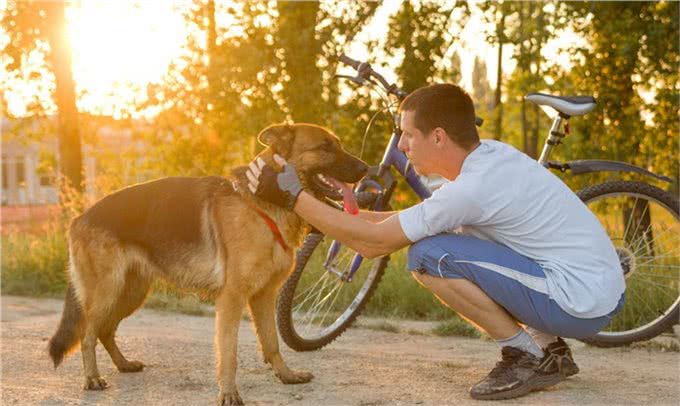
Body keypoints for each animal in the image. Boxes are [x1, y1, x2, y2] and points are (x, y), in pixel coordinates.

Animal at [47, 122, 370, 404]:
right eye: (325, 147)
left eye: (337, 144)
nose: (367, 169)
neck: (262, 206)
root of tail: (80, 217)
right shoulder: (232, 299)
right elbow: (228, 353)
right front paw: (228, 393)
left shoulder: (264, 297)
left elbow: (272, 343)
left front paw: (286, 376)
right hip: (107, 291)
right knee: (88, 334)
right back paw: (92, 378)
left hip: (131, 293)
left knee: (105, 330)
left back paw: (123, 364)